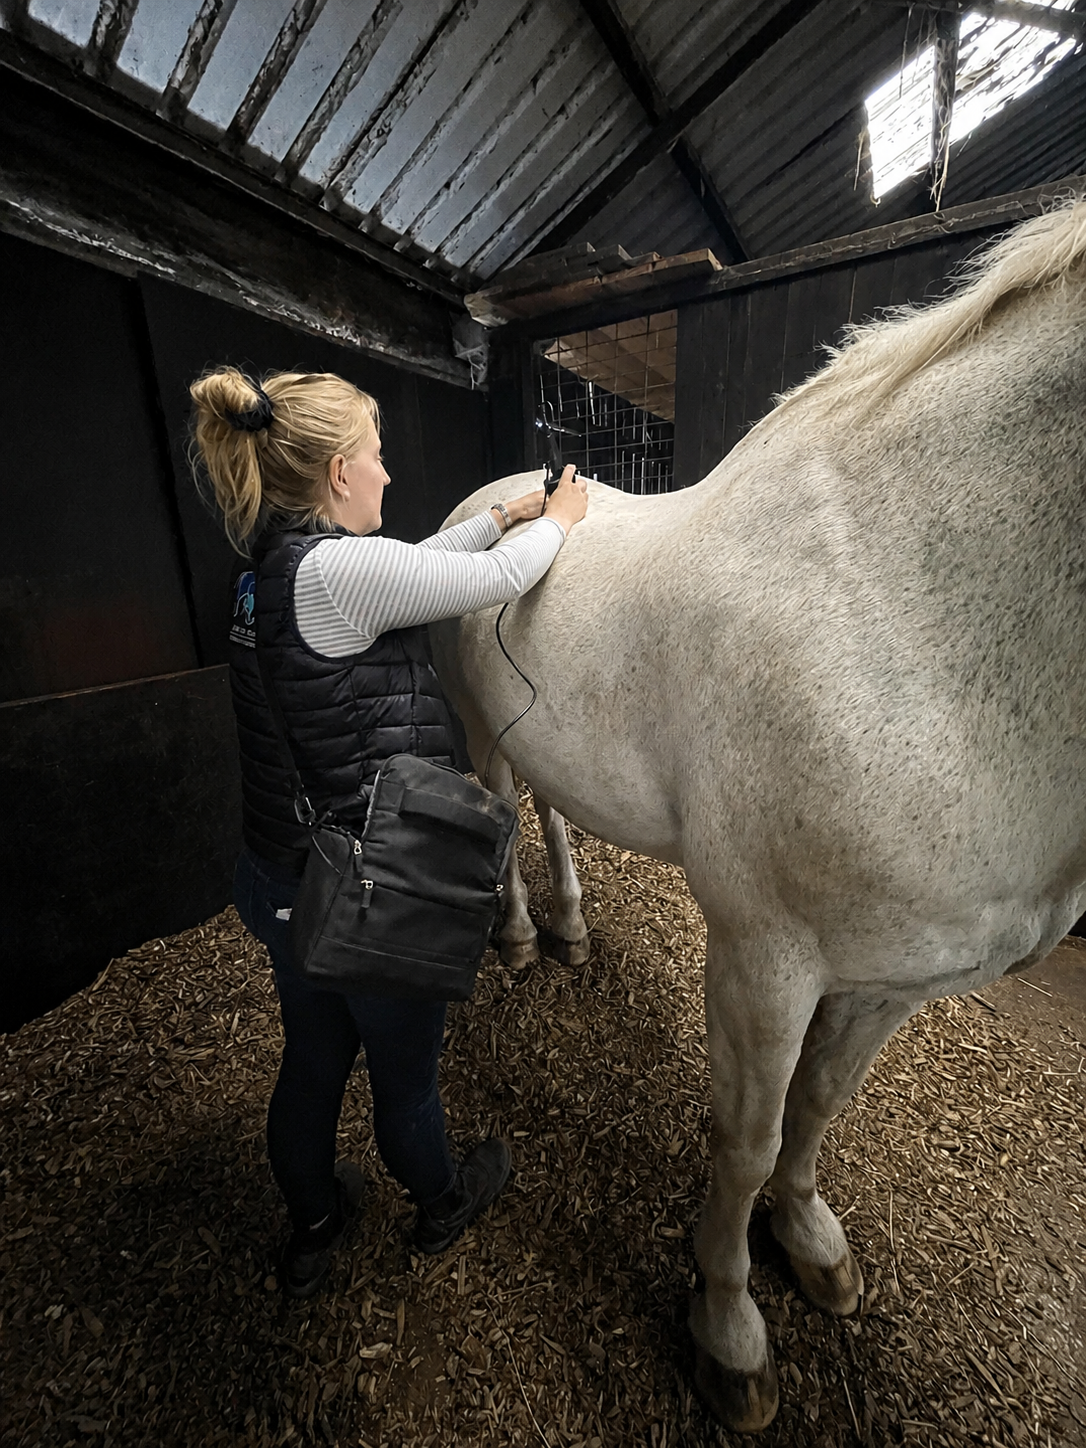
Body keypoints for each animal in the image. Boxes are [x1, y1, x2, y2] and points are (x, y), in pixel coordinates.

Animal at [430, 201, 1086, 1432]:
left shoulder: (893, 973)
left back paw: (575, 929)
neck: (906, 604)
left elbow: (822, 1104)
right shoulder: (763, 960)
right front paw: (730, 1328)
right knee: (496, 815)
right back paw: (524, 938)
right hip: (481, 731)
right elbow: (744, 1139)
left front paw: (812, 1241)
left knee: (551, 813)